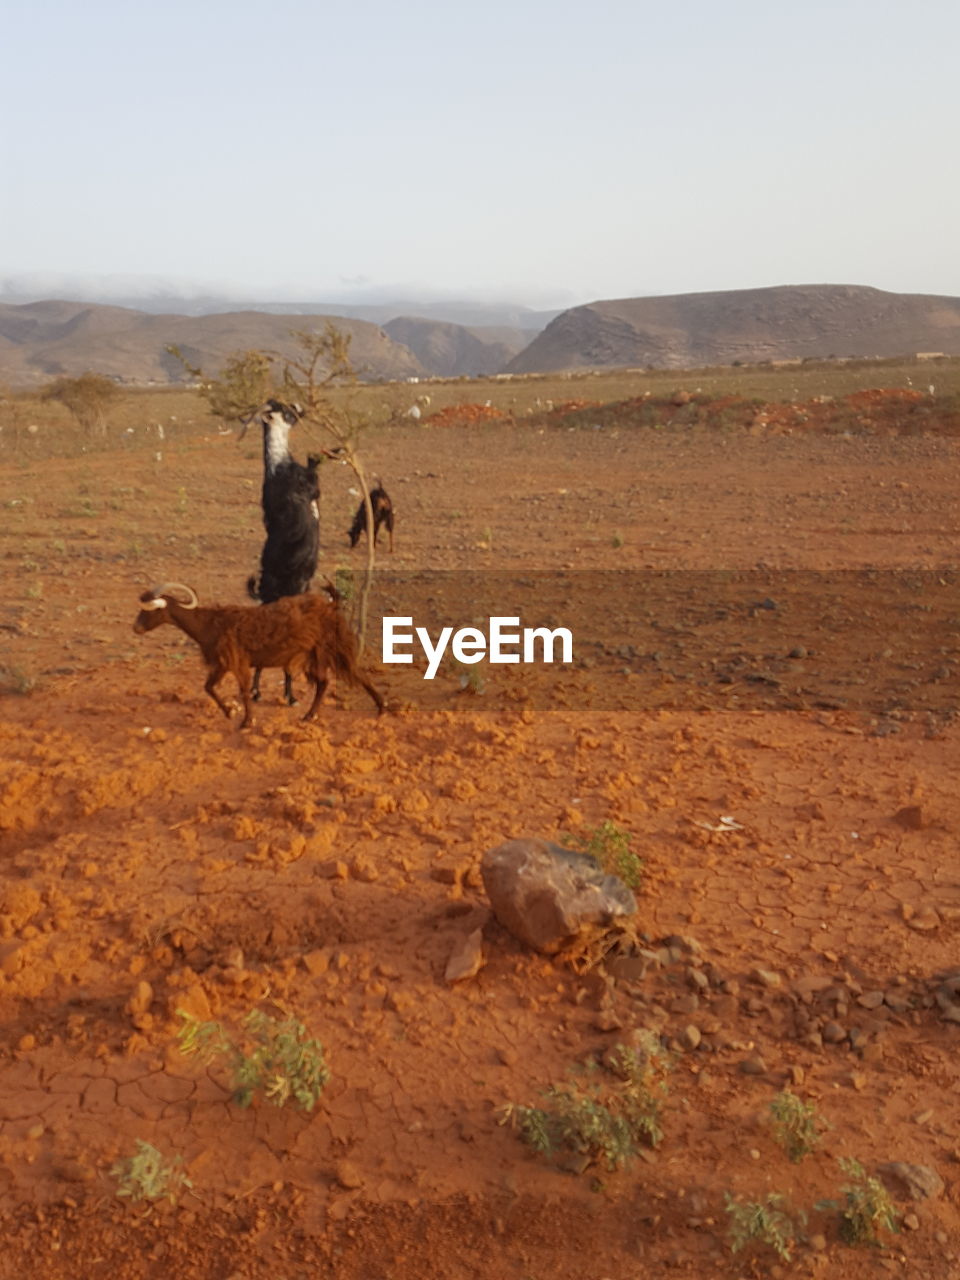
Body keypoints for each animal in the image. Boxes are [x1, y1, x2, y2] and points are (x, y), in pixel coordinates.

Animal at [132, 583, 386, 732]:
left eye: (151, 610)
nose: (136, 628)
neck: (209, 623)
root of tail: (331, 605)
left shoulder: (236, 660)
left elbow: (243, 691)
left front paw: (246, 721)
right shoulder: (223, 663)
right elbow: (209, 687)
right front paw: (230, 711)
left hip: (331, 646)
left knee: (353, 673)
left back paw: (381, 708)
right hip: (316, 653)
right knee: (327, 681)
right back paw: (310, 716)